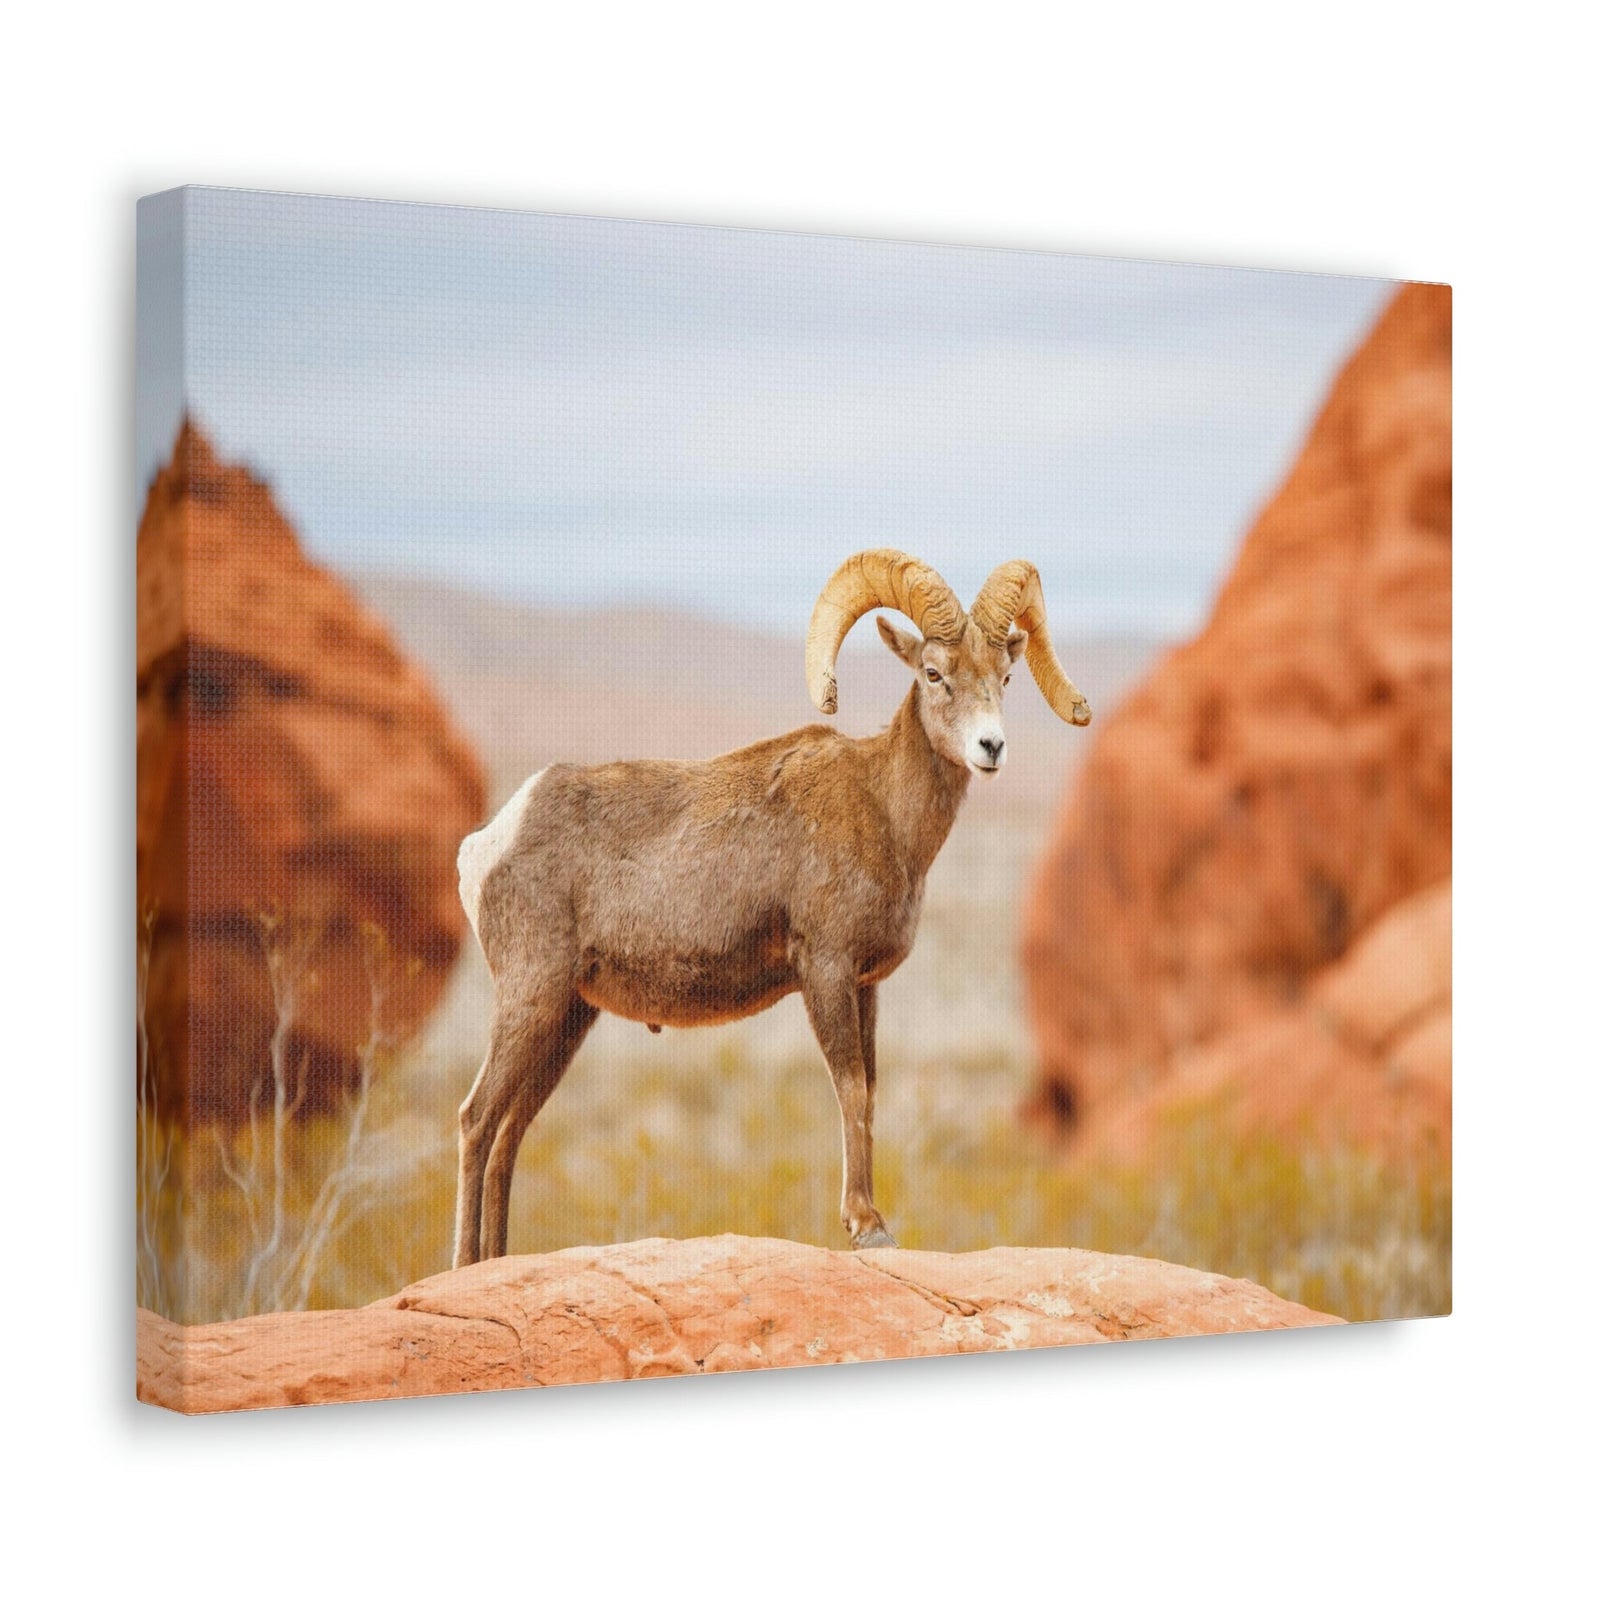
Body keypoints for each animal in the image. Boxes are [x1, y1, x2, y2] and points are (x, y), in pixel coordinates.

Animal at [452, 549, 1091, 1265]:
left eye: (1005, 676)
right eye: (934, 673)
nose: (991, 748)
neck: (884, 813)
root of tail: (489, 842)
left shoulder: (865, 985)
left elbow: (870, 1090)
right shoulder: (826, 971)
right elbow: (849, 1087)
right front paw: (867, 1226)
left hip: (567, 1018)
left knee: (510, 1130)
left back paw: (495, 1262)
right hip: (530, 998)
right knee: (478, 1120)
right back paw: (464, 1264)